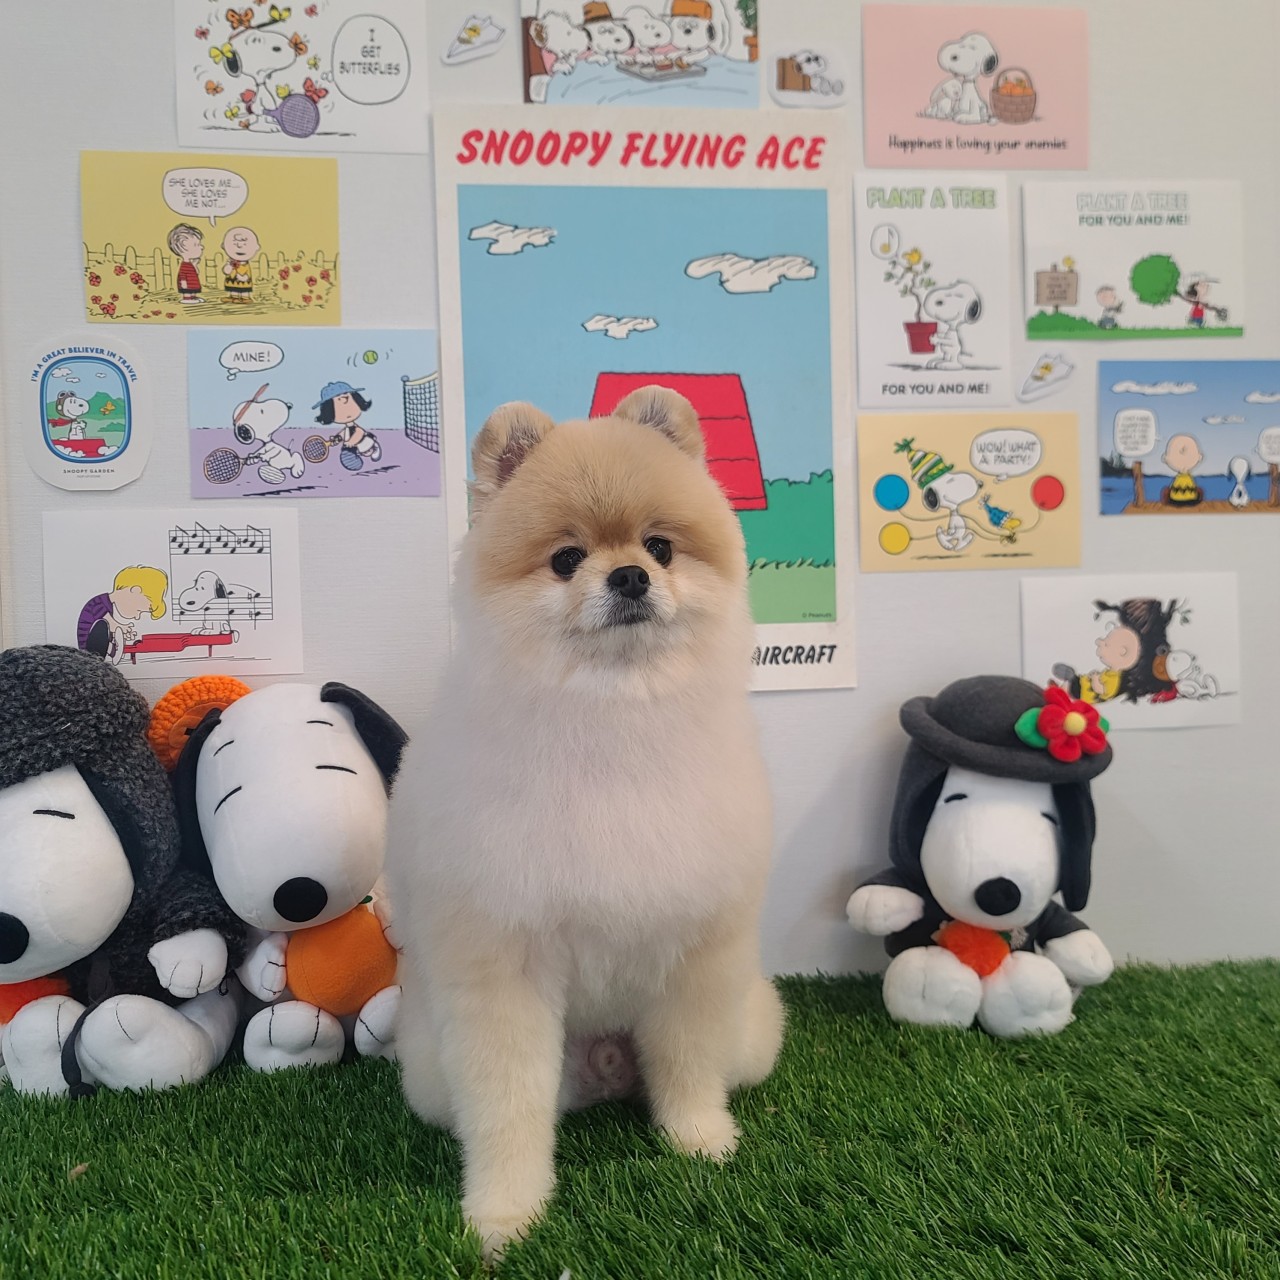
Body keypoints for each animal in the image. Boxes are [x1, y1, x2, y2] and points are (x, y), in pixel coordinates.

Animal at [386, 386, 785, 1260]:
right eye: (567, 559)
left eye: (661, 547)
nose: (631, 575)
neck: (611, 717)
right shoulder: (502, 966)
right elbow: (508, 1107)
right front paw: (506, 1212)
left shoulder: (698, 953)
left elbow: (687, 1063)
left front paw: (698, 1139)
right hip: (428, 1072)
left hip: (753, 1028)